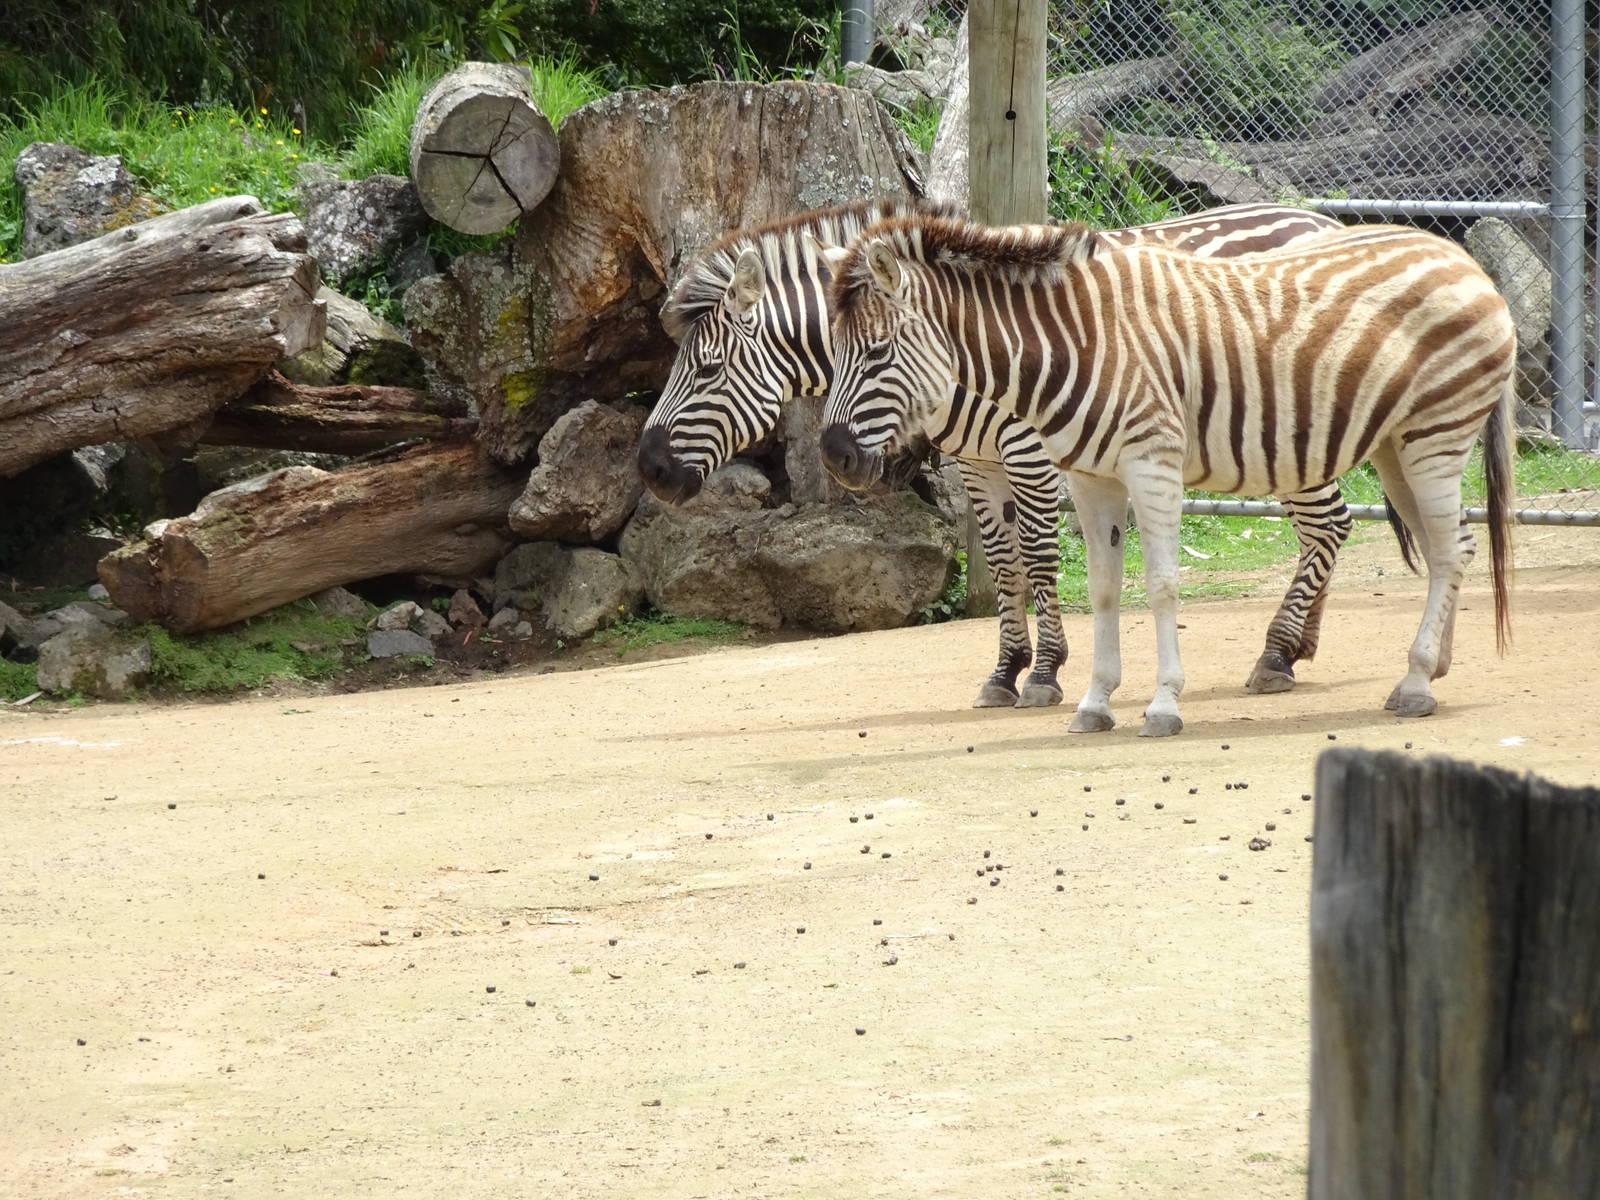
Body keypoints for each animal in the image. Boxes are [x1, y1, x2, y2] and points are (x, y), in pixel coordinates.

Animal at [636, 198, 1356, 708]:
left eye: (706, 369)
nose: (650, 469)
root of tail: (1318, 217)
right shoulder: (977, 462)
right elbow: (1004, 562)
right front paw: (1006, 671)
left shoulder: (1028, 446)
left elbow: (1038, 556)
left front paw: (1045, 673)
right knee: (1323, 525)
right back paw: (1299, 646)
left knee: (1328, 522)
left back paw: (1277, 654)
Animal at [820, 215, 1515, 736]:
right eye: (835, 350)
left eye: (877, 352)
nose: (833, 457)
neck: (1076, 342)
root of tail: (1460, 255)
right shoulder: (1089, 477)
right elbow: (1103, 589)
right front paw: (1095, 703)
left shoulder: (1151, 464)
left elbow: (1159, 586)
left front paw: (1161, 705)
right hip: (1397, 447)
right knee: (1448, 542)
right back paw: (1431, 670)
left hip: (1436, 435)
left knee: (1447, 550)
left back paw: (1415, 679)